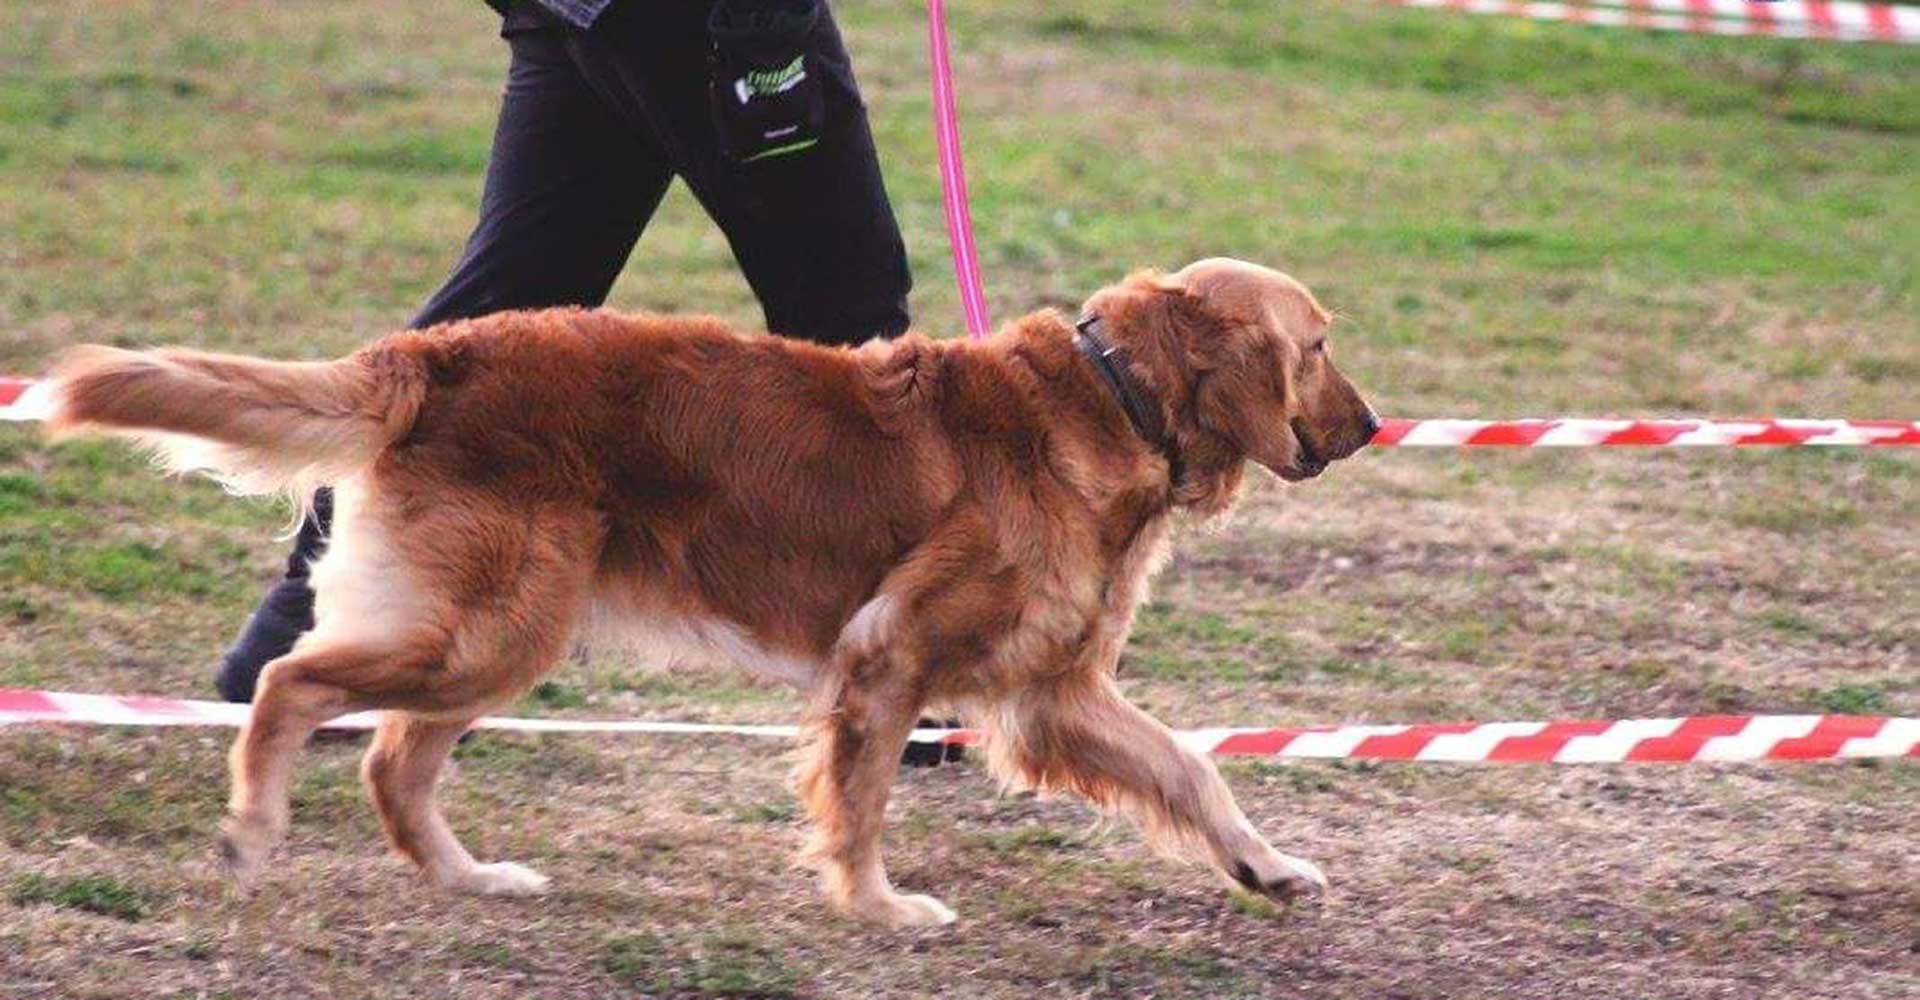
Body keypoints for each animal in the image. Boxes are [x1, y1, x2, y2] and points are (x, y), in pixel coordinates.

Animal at [45, 255, 1382, 921]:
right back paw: (252, 831)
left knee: (390, 761)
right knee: (290, 683)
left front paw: (1269, 868)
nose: (1372, 428)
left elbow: (1194, 770)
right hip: (485, 628)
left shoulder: (1051, 691)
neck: (1113, 395)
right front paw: (880, 909)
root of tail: (433, 352)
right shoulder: (888, 656)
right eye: (1317, 346)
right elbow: (863, 806)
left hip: (503, 632)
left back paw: (473, 880)